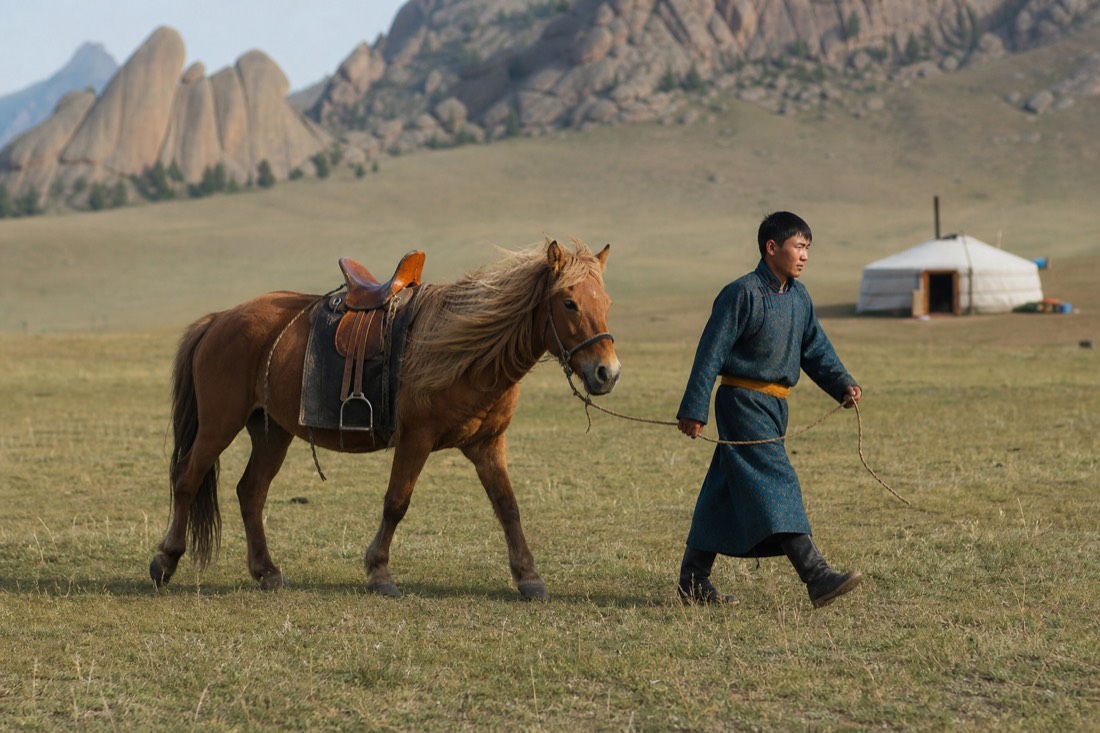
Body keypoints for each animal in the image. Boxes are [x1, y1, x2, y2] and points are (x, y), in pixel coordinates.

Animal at [149, 238, 620, 600]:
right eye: (569, 302)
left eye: (607, 303)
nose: (607, 372)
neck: (468, 352)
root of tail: (219, 319)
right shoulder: (416, 438)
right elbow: (396, 502)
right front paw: (379, 572)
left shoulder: (488, 444)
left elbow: (508, 507)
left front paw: (529, 578)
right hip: (219, 423)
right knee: (188, 479)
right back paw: (165, 561)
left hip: (271, 430)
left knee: (251, 491)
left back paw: (266, 571)